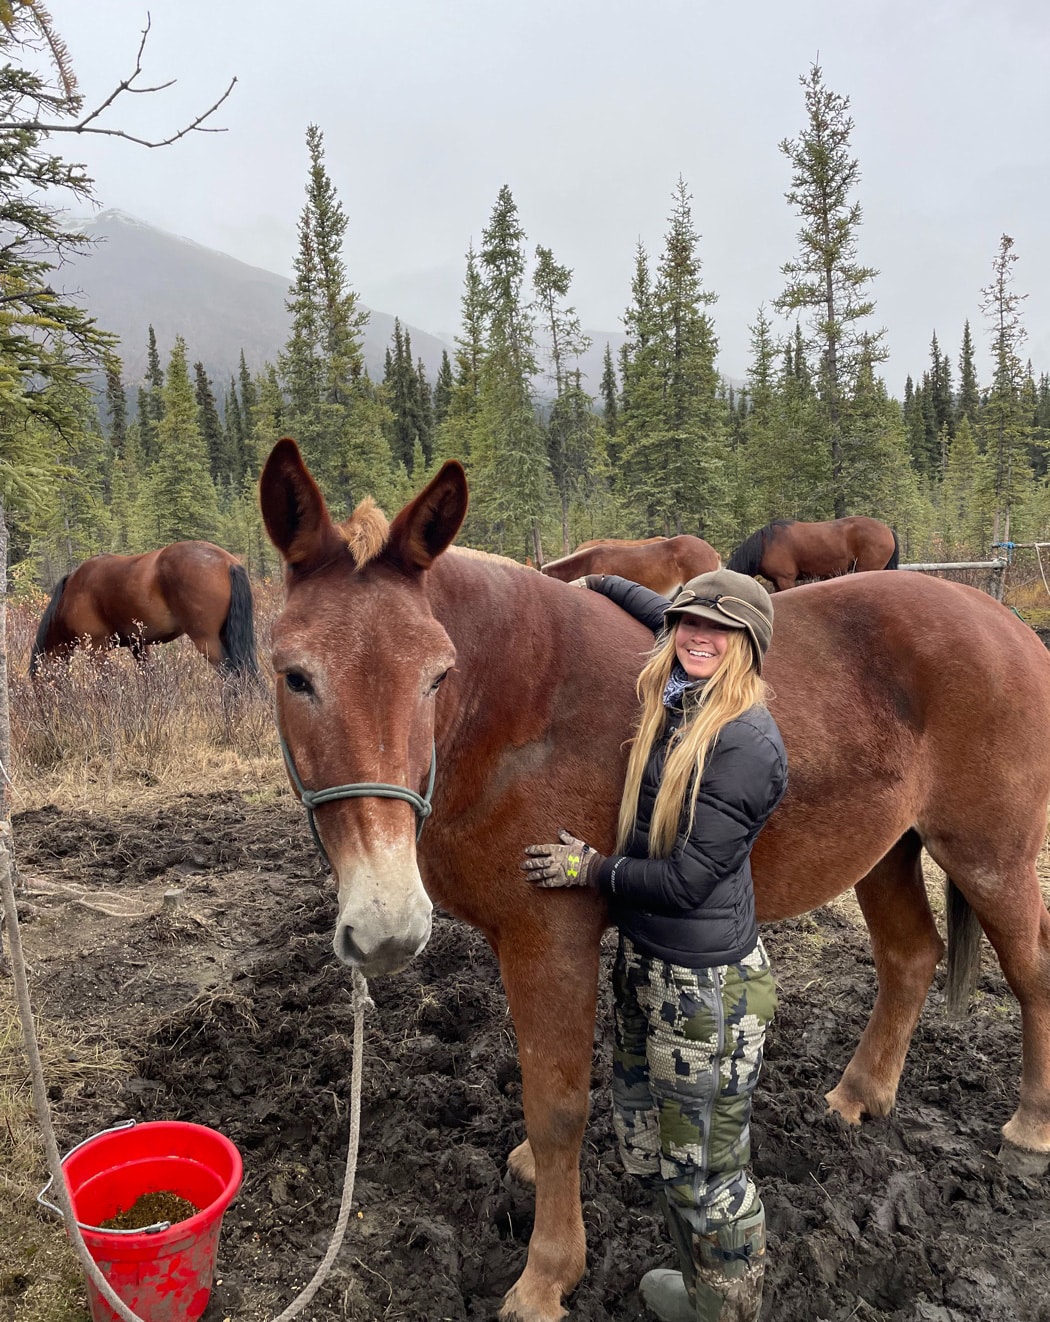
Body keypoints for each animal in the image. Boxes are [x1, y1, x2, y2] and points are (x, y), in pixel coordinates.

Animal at [28, 539, 257, 682]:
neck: (71, 595)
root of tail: (228, 562)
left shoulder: (96, 649)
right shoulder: (138, 645)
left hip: (206, 640)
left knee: (231, 676)